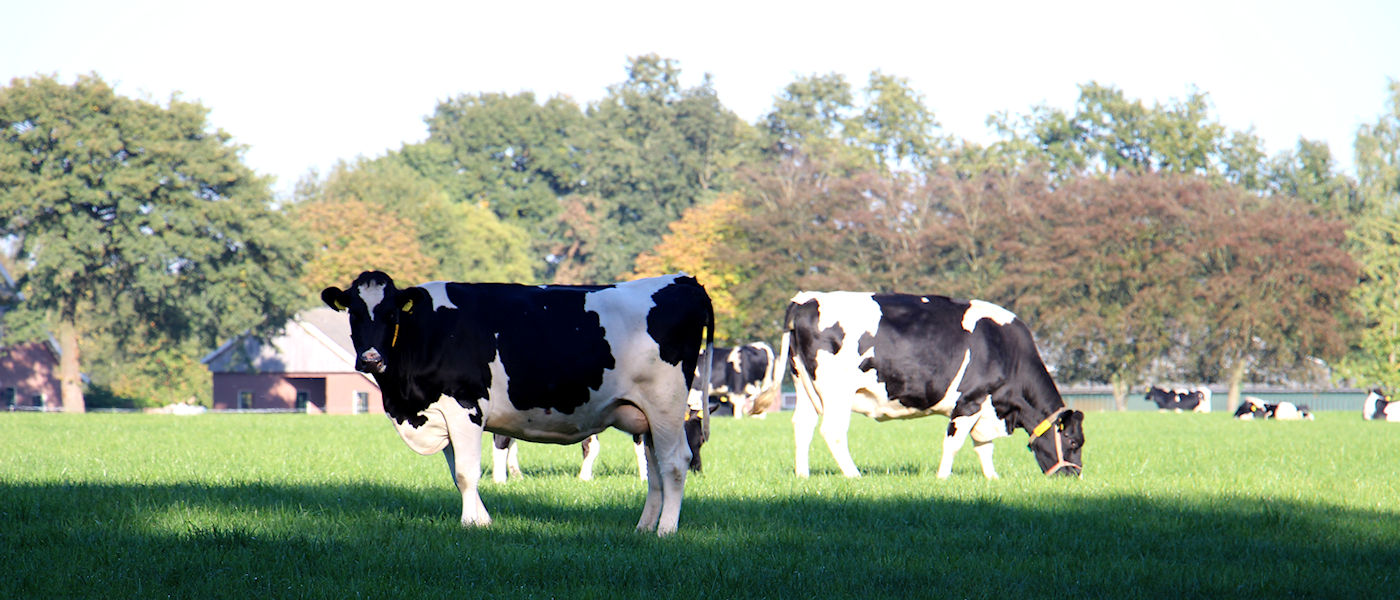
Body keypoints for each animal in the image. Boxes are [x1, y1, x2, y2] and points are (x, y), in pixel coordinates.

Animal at [321, 271, 713, 536]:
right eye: (354, 313)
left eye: (391, 314)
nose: (371, 359)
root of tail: (683, 279)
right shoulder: (440, 413)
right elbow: (455, 472)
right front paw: (483, 520)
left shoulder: (465, 406)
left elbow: (466, 473)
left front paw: (470, 524)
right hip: (645, 416)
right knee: (656, 469)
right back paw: (644, 528)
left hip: (666, 404)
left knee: (675, 462)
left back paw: (666, 531)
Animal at [774, 291, 1084, 480]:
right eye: (1073, 441)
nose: (1073, 475)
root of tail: (807, 298)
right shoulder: (970, 400)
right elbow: (955, 443)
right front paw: (942, 477)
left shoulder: (986, 407)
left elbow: (984, 445)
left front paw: (992, 478)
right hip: (837, 391)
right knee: (833, 431)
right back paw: (854, 475)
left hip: (803, 386)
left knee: (803, 426)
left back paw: (803, 474)